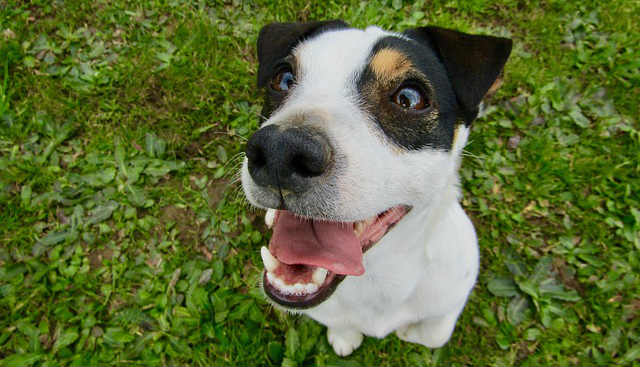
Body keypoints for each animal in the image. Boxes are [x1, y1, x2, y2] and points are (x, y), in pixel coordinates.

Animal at [239, 20, 510, 356]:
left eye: (409, 98)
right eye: (283, 79)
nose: (279, 150)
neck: (379, 273)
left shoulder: (454, 288)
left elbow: (434, 334)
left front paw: (410, 330)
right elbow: (340, 323)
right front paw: (344, 336)